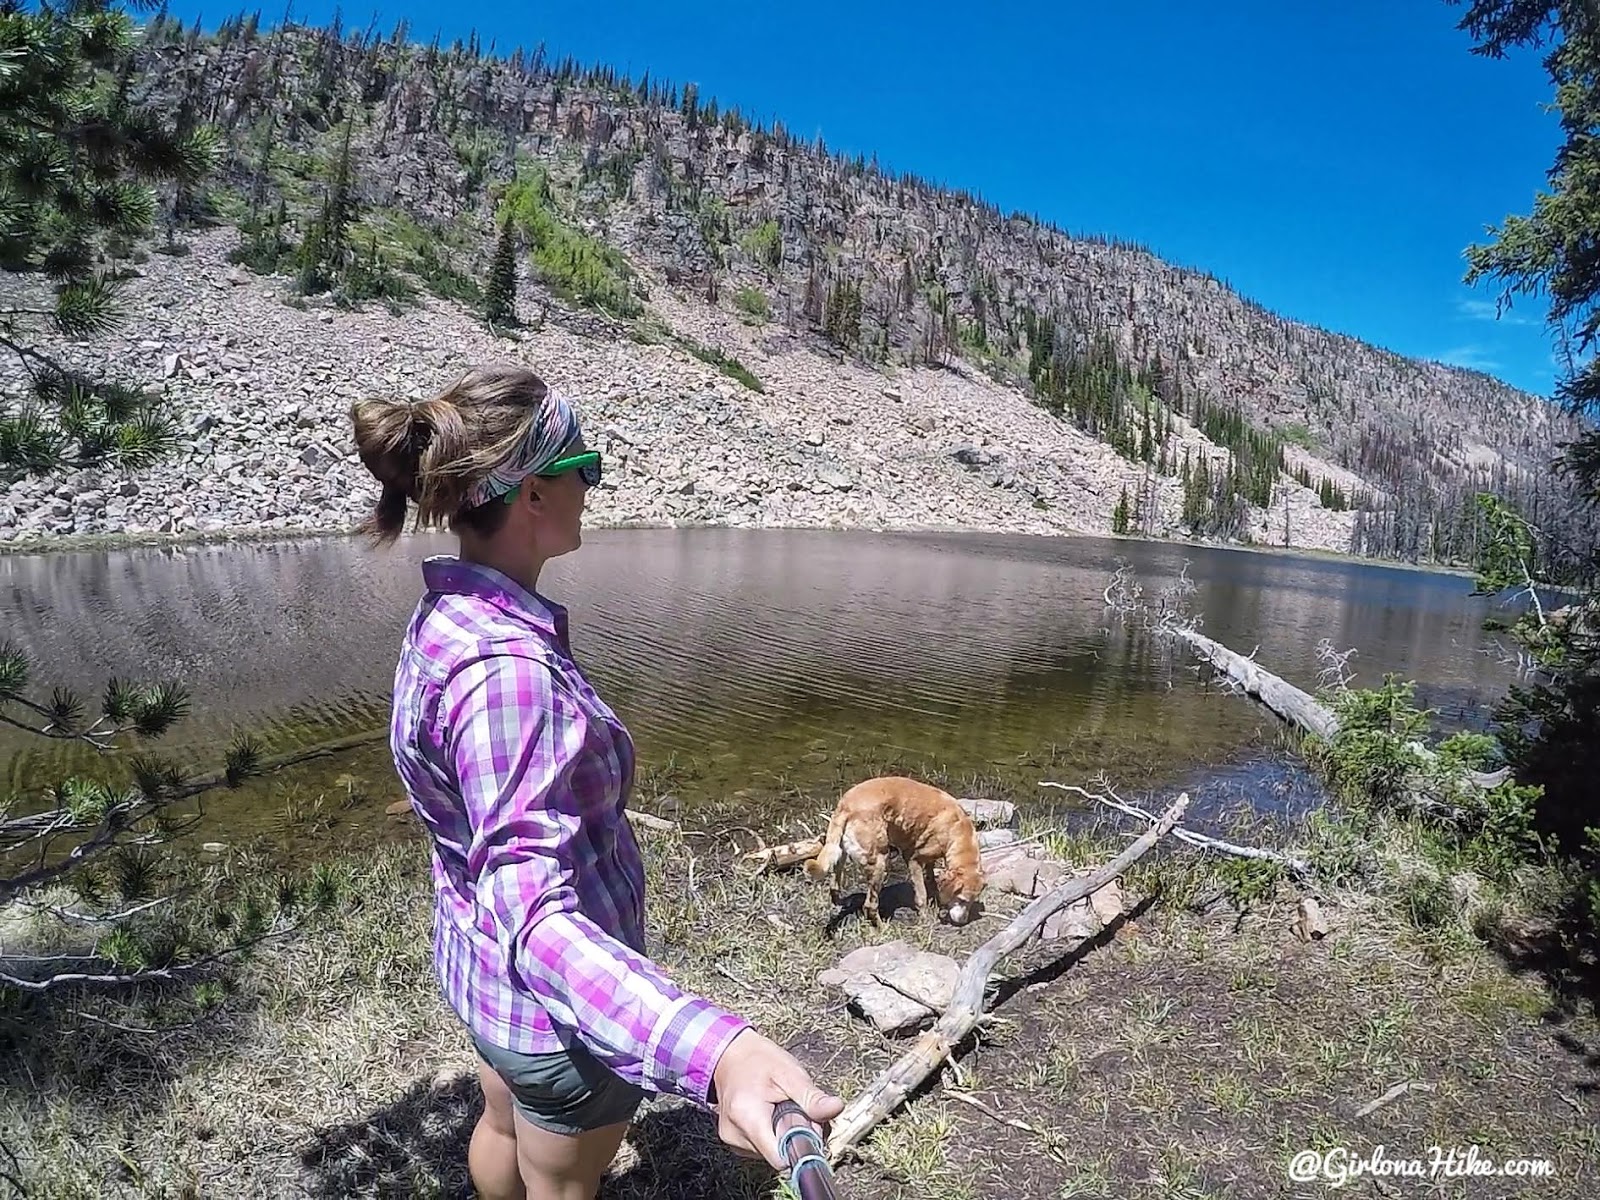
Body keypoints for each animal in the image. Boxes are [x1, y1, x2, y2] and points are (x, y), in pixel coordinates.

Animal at [806, 774, 979, 934]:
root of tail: (846, 806)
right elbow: (921, 894)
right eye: (962, 900)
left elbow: (931, 878)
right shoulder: (913, 858)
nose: (963, 921)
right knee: (869, 905)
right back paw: (883, 928)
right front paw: (925, 917)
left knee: (834, 885)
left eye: (972, 901)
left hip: (840, 854)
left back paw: (840, 902)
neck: (957, 830)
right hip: (880, 862)